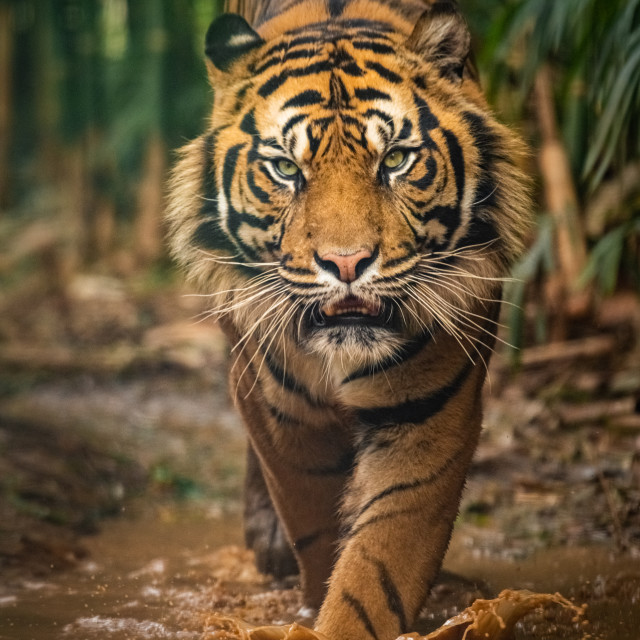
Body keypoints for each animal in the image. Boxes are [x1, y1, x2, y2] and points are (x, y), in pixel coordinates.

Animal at [166, 0, 531, 638]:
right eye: (286, 169)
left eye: (397, 160)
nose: (346, 263)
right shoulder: (279, 407)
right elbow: (315, 521)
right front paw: (310, 594)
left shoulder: (429, 409)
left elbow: (382, 555)